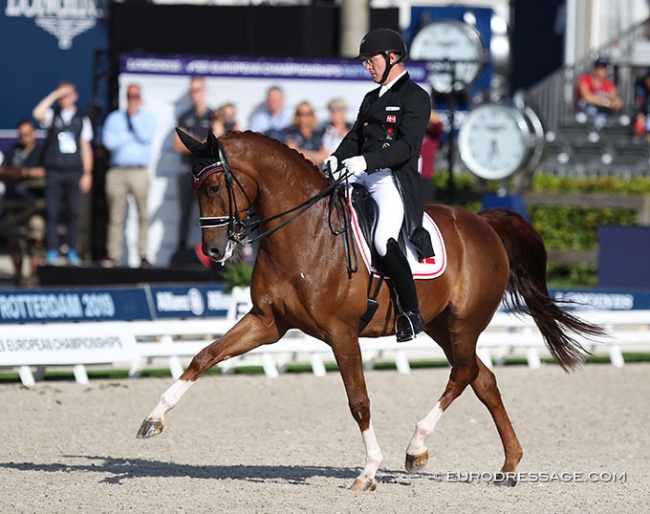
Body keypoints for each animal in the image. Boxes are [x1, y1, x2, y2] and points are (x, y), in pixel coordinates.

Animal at [137, 128, 604, 488]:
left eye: (215, 187)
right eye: (194, 189)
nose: (214, 250)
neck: (304, 234)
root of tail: (484, 223)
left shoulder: (341, 333)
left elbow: (358, 400)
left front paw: (369, 471)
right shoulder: (267, 323)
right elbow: (204, 356)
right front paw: (153, 418)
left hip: (463, 323)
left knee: (464, 373)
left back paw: (417, 447)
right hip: (439, 326)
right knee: (482, 379)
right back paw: (508, 465)